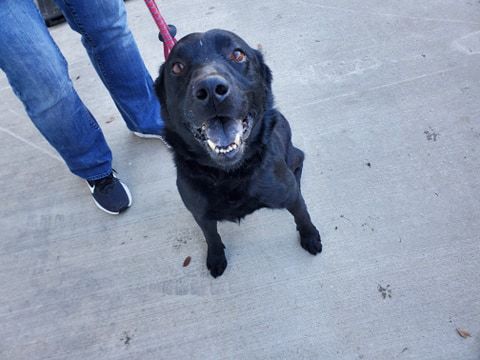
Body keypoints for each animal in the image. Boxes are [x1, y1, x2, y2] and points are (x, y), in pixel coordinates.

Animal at [156, 30, 322, 278]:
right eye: (177, 67)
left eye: (237, 54)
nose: (211, 89)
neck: (229, 175)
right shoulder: (200, 213)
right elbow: (211, 236)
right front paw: (216, 257)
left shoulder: (289, 195)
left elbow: (302, 214)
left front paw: (309, 235)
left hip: (292, 155)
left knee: (299, 160)